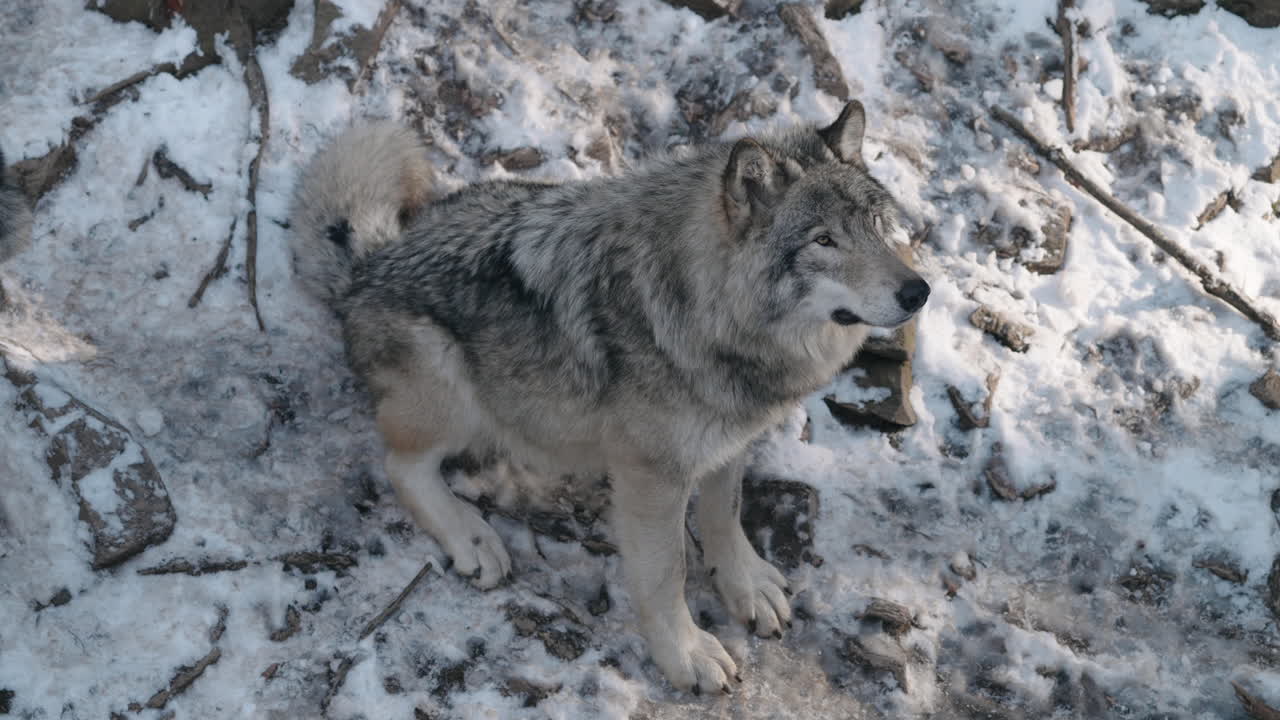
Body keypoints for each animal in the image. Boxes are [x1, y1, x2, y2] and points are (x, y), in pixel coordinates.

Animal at [290, 103, 931, 691]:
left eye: (877, 226)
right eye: (824, 240)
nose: (918, 291)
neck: (704, 314)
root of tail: (368, 266)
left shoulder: (729, 437)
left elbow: (724, 514)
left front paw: (745, 585)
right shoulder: (654, 476)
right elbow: (666, 574)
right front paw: (687, 655)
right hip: (451, 387)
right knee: (402, 466)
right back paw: (471, 536)